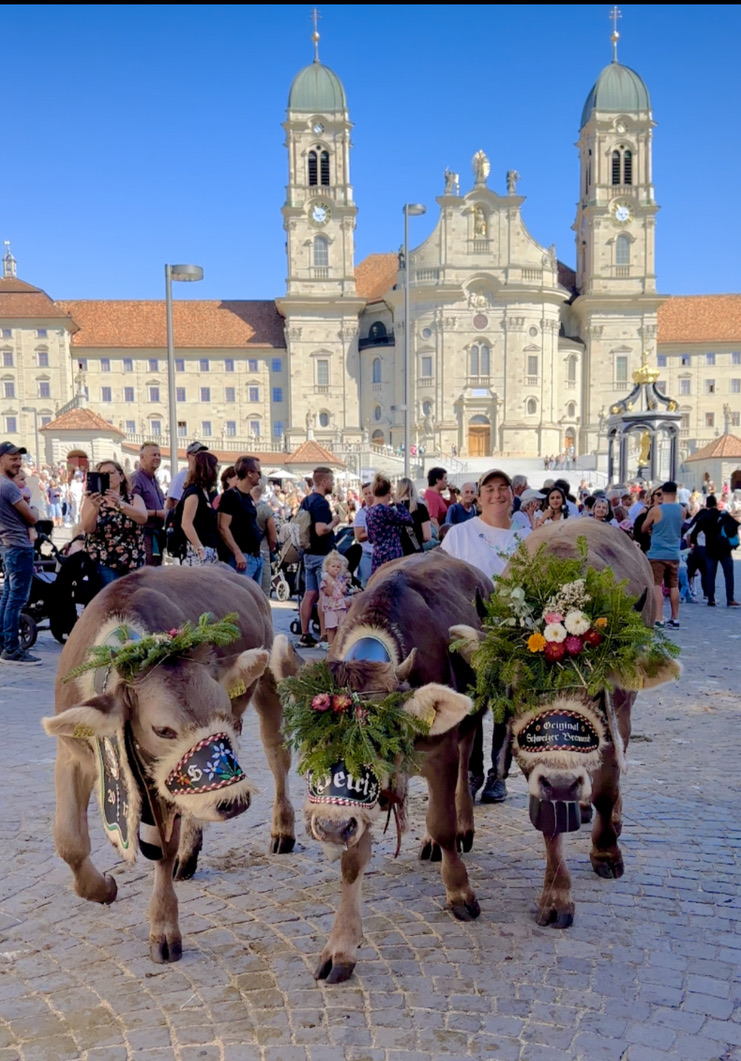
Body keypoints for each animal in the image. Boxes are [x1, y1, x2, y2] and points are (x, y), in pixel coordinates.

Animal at [41, 568, 293, 967]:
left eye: (221, 713)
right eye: (163, 729)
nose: (234, 802)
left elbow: (162, 850)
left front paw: (163, 930)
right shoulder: (72, 754)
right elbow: (69, 840)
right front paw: (102, 889)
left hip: (267, 683)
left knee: (277, 756)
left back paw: (283, 831)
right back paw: (190, 857)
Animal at [271, 551, 490, 980]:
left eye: (373, 738)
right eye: (311, 741)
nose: (329, 828)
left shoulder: (441, 751)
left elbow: (441, 820)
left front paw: (460, 892)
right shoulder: (355, 809)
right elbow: (352, 862)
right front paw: (340, 948)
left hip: (471, 718)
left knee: (463, 769)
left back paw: (462, 828)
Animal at [452, 519, 679, 929]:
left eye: (595, 690)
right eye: (520, 691)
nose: (564, 781)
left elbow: (607, 788)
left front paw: (606, 853)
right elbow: (551, 818)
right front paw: (557, 899)